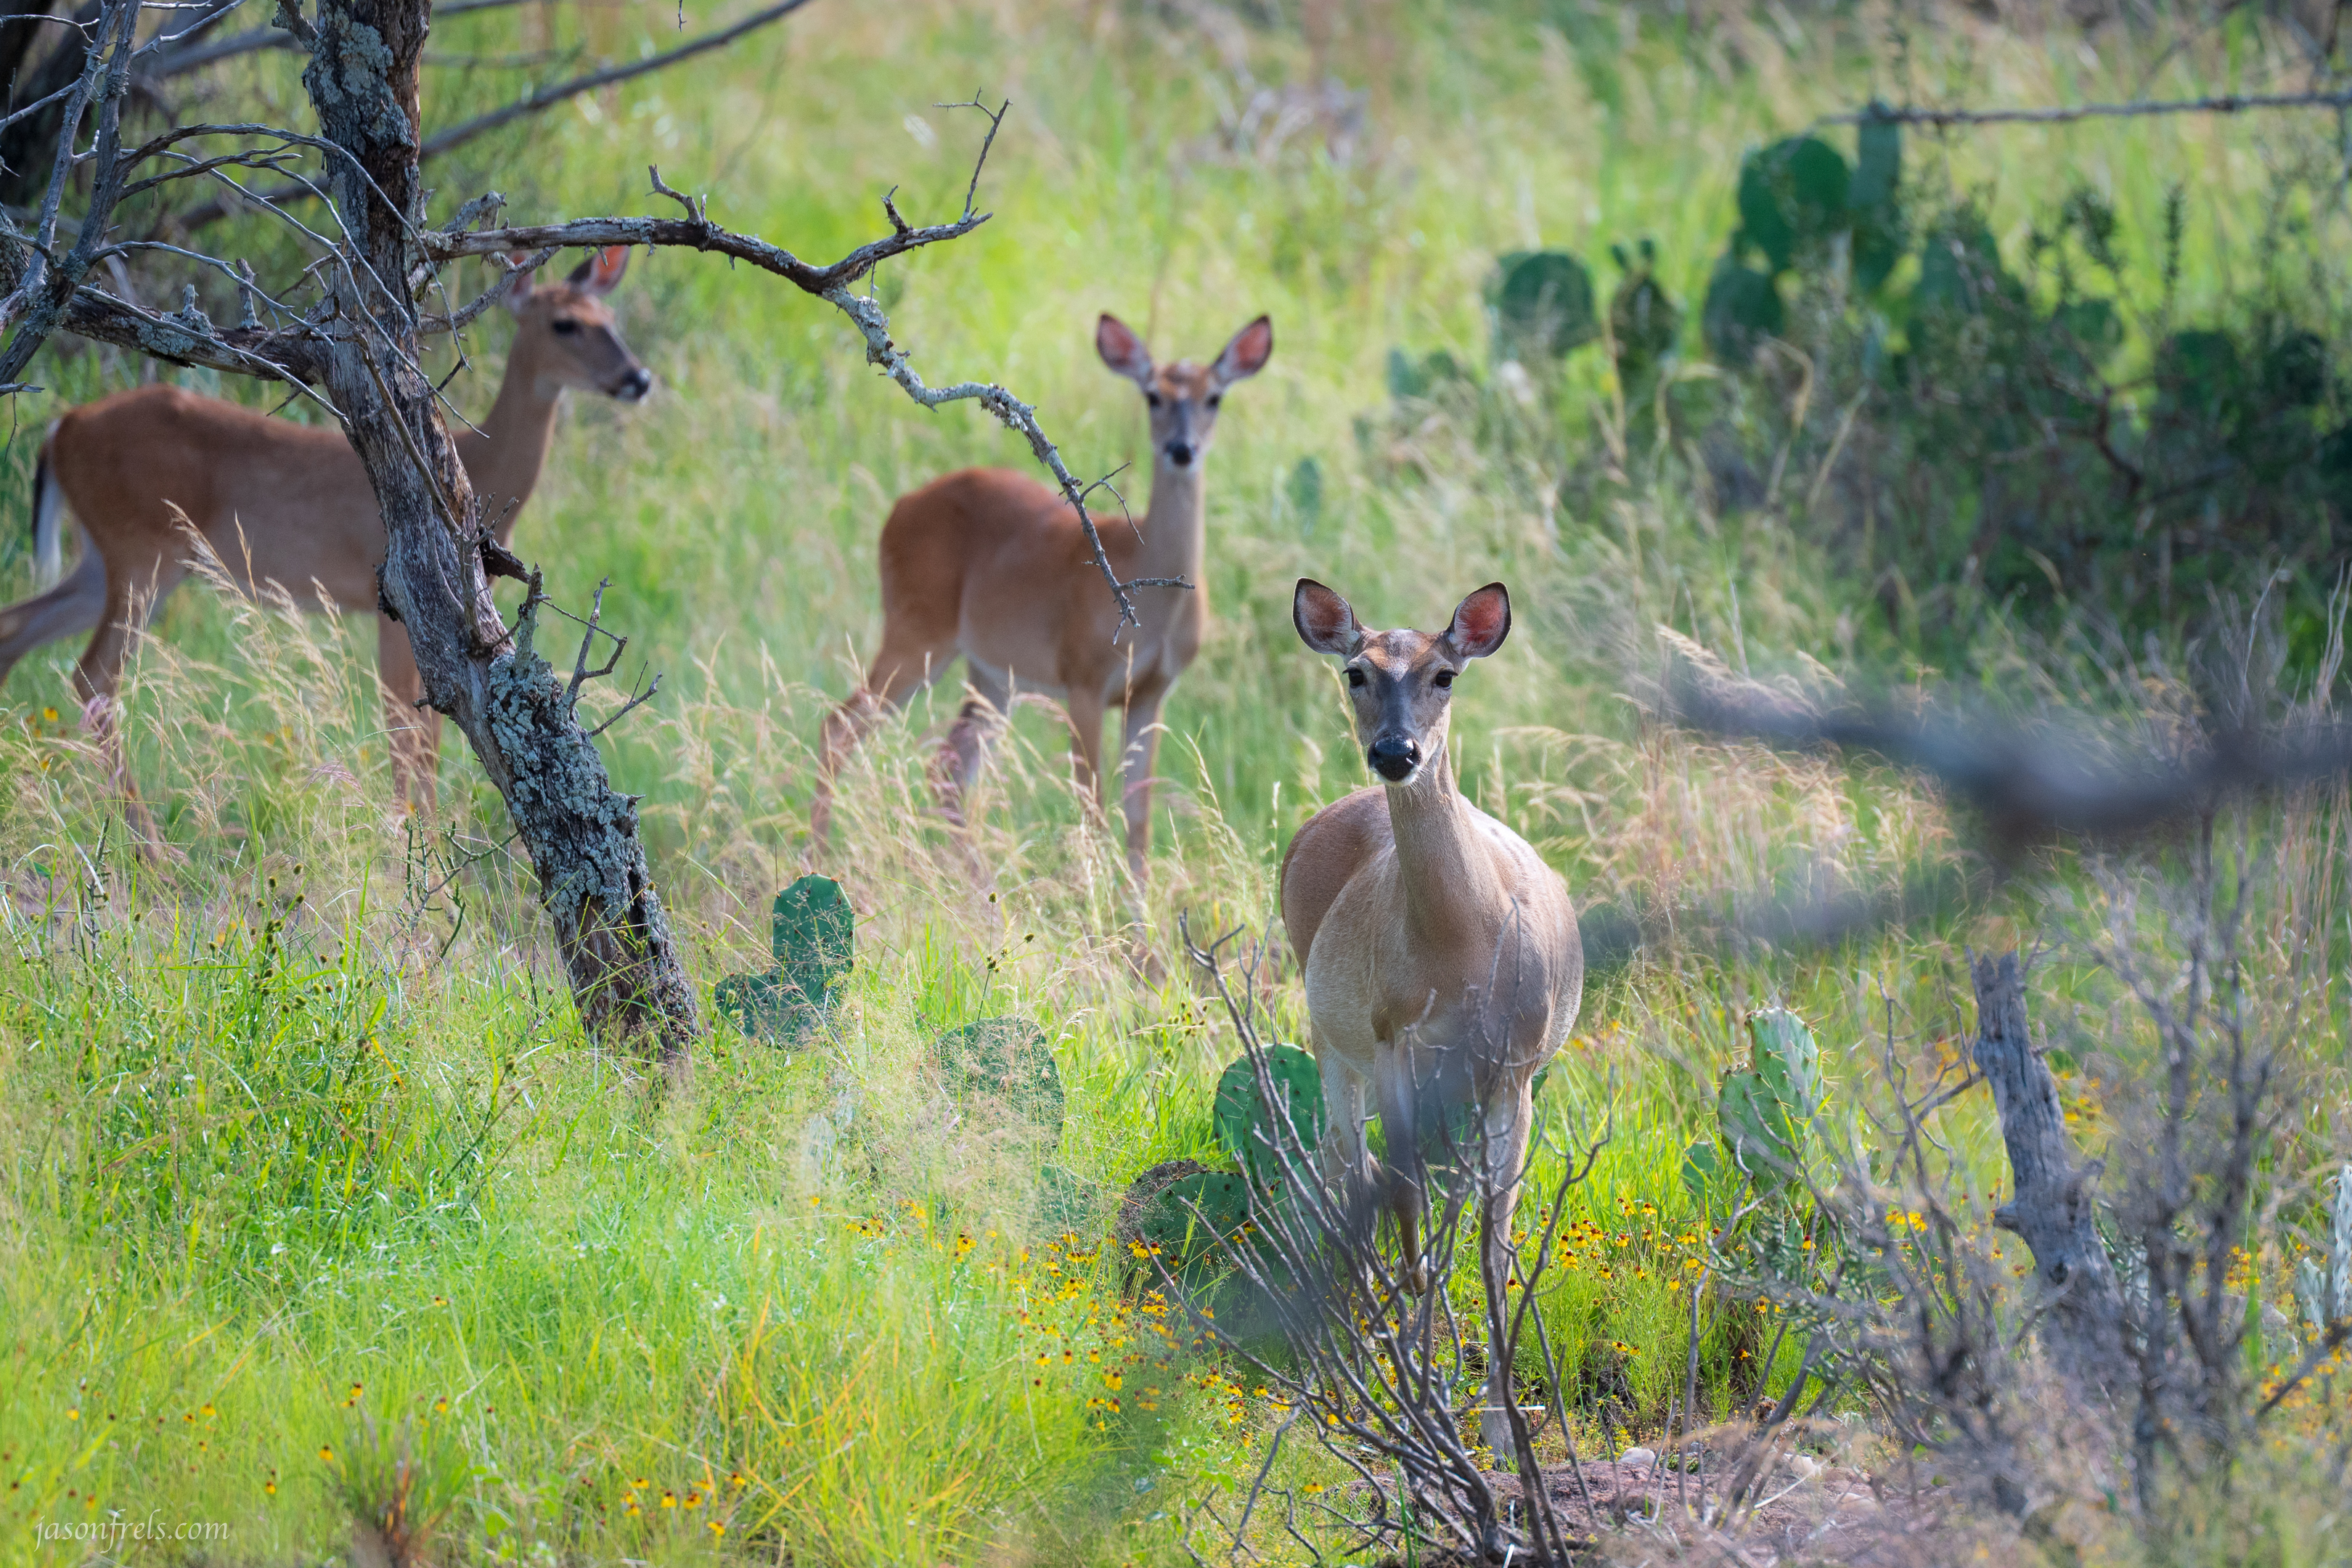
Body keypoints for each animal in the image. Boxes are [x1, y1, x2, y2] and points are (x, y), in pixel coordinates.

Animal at [0, 246, 650, 842]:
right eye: (565, 323)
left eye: (610, 317)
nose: (638, 379)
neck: (478, 470)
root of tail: (62, 428)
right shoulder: (394, 595)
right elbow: (406, 724)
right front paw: (412, 839)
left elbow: (428, 731)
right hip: (142, 553)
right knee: (93, 678)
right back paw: (152, 848)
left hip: (103, 559)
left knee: (20, 629)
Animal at [811, 312, 1273, 881]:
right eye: (1152, 396)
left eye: (1214, 397)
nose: (1182, 450)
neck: (1152, 587)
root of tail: (898, 509)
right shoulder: (1084, 678)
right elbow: (1093, 807)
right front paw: (1094, 902)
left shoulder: (1151, 692)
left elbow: (1139, 819)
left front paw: (1139, 909)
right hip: (916, 630)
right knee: (839, 728)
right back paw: (817, 860)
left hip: (991, 674)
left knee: (946, 765)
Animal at [1279, 577, 1584, 1460]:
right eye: (1356, 671)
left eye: (1445, 674)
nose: (1395, 752)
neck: (1461, 946)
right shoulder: (1390, 1035)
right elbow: (1407, 1187)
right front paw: (1415, 1336)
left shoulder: (1516, 1068)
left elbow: (1494, 1234)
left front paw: (1500, 1420)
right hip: (1331, 1038)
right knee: (1345, 1159)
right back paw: (1363, 1325)